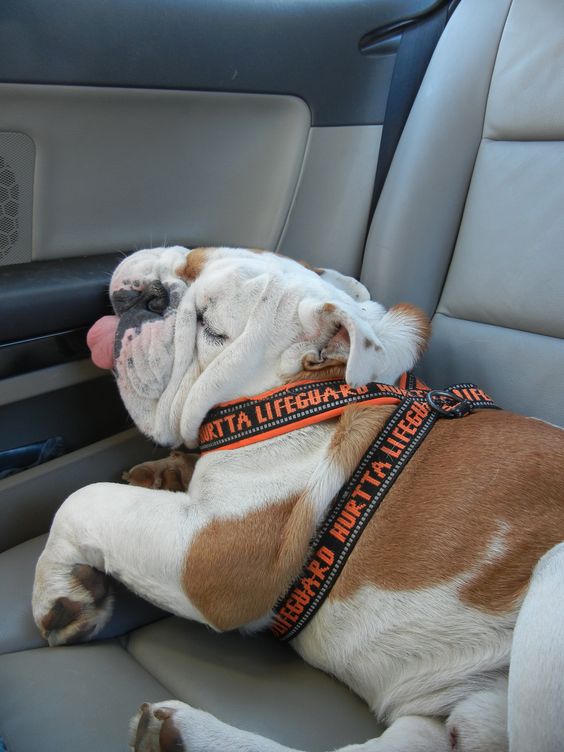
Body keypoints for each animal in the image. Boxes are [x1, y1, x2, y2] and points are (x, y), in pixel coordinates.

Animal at [32, 248, 564, 752]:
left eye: (211, 328)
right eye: (190, 258)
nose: (149, 297)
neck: (307, 391)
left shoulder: (209, 550)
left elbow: (82, 501)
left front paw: (58, 592)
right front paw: (162, 473)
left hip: (552, 581)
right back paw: (182, 736)